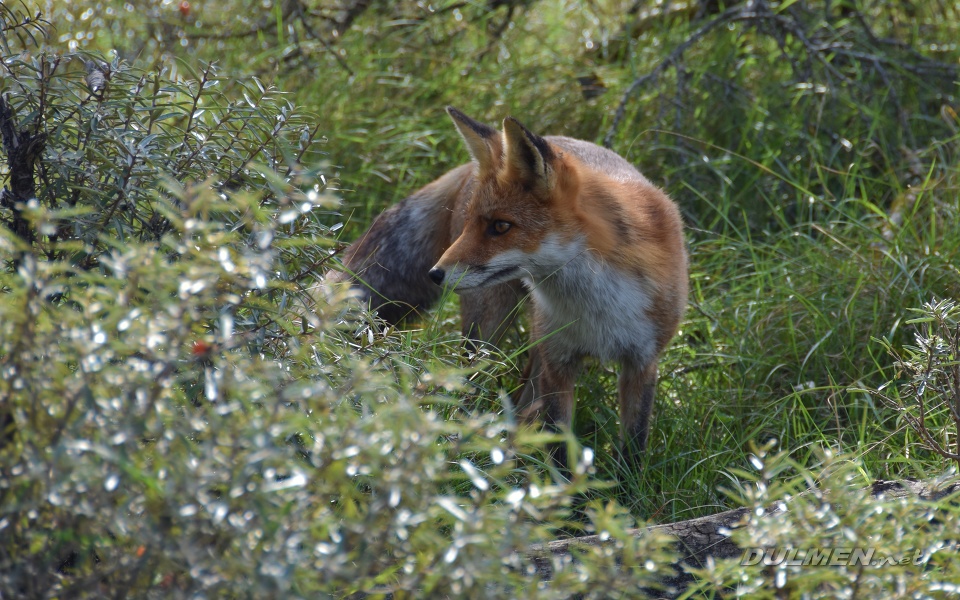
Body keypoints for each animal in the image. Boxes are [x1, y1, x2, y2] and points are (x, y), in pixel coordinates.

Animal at [331, 107, 688, 468]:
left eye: (501, 226)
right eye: (472, 223)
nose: (435, 274)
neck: (597, 306)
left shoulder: (641, 362)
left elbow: (634, 446)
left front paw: (627, 484)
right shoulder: (558, 362)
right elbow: (560, 447)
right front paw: (559, 485)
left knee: (524, 393)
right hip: (488, 330)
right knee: (472, 386)